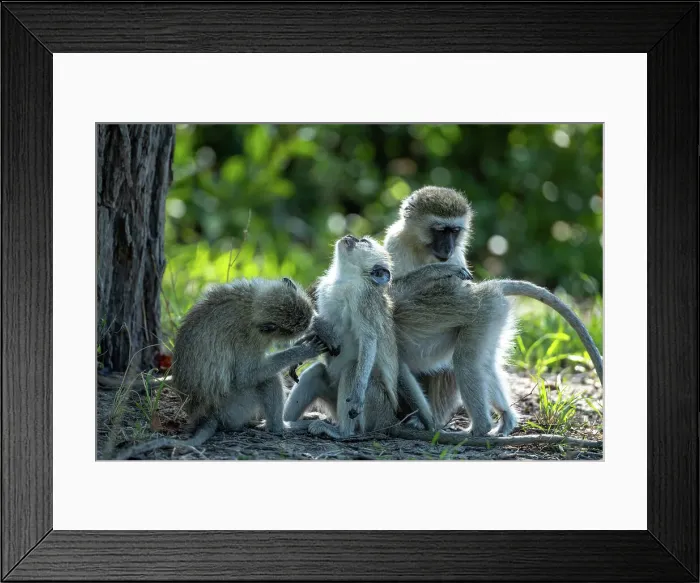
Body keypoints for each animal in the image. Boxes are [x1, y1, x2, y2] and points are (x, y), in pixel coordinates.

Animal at [113, 277, 333, 459]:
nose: (310, 327)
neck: (249, 305)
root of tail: (206, 416)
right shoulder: (247, 338)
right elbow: (246, 375)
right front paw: (303, 351)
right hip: (235, 407)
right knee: (267, 380)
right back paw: (281, 427)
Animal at [283, 234, 436, 438]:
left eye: (363, 241)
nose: (349, 237)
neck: (345, 279)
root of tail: (389, 421)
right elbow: (325, 332)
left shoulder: (363, 299)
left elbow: (369, 338)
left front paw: (357, 393)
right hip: (332, 397)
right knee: (314, 373)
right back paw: (284, 422)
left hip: (375, 405)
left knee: (351, 369)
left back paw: (342, 432)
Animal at [385, 185, 603, 437]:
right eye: (440, 230)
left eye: (454, 232)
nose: (448, 248)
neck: (422, 249)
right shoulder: (395, 242)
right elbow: (390, 289)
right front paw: (438, 271)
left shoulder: (458, 255)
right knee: (482, 362)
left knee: (464, 361)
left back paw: (464, 426)